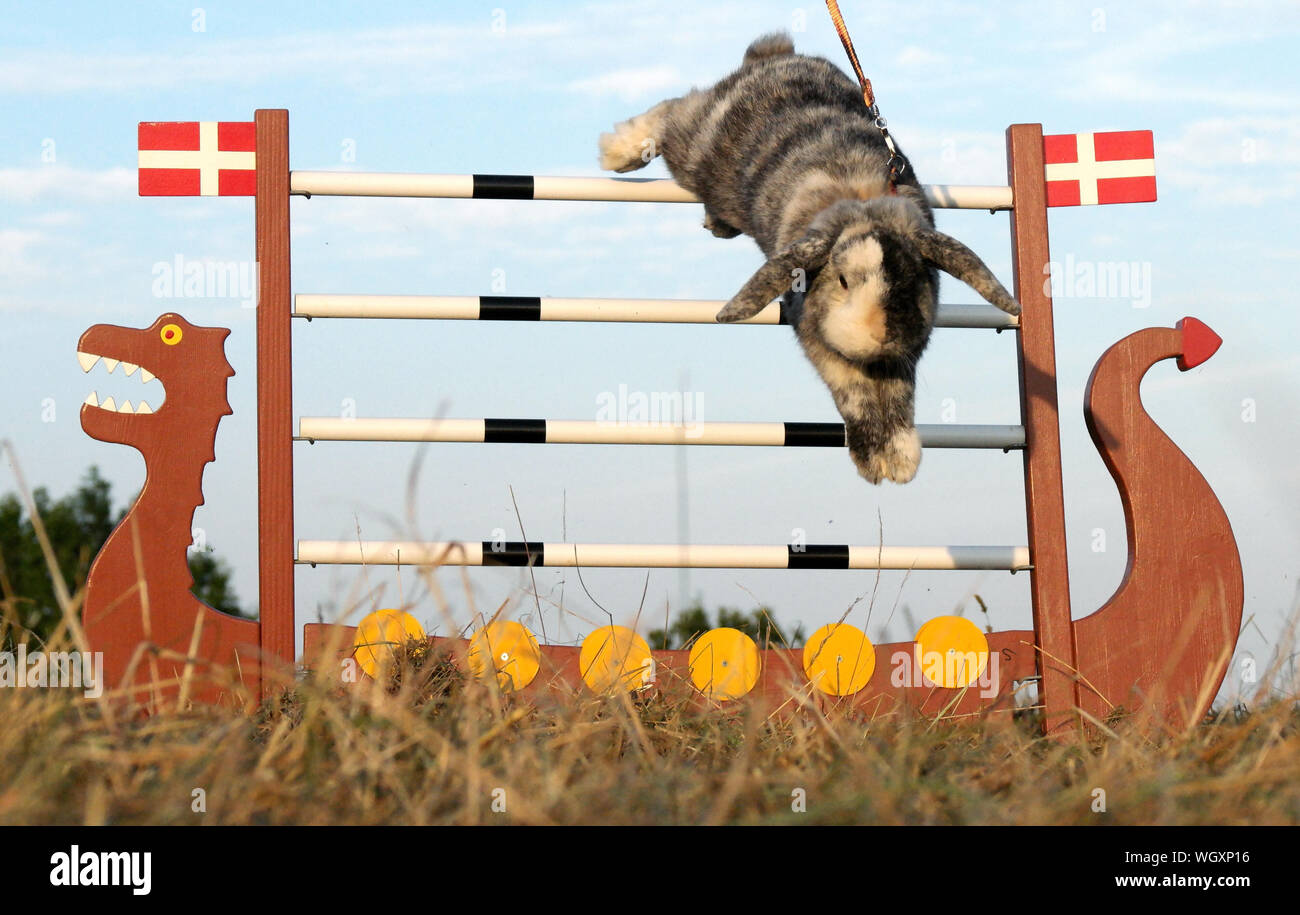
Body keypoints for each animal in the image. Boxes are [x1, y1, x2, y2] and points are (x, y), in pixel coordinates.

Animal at [598, 32, 1020, 483]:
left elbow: (898, 398)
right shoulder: (818, 340)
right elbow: (854, 394)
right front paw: (878, 463)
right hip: (696, 150)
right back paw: (618, 152)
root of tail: (774, 56)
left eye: (914, 278)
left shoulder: (900, 362)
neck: (863, 203)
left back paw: (714, 220)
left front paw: (899, 460)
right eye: (844, 281)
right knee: (673, 112)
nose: (883, 333)